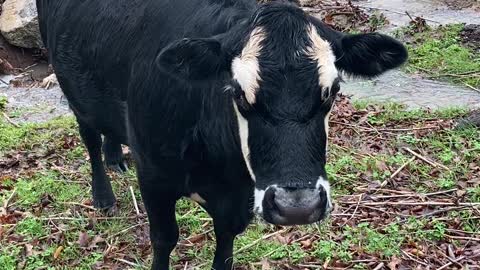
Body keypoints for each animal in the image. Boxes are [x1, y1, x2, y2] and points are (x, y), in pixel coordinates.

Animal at [35, 0, 406, 268]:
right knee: (89, 137)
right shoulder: (153, 176)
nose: (297, 207)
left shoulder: (239, 200)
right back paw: (103, 195)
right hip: (71, 86)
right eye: (239, 93)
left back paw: (114, 156)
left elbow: (225, 248)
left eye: (332, 91)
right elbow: (164, 239)